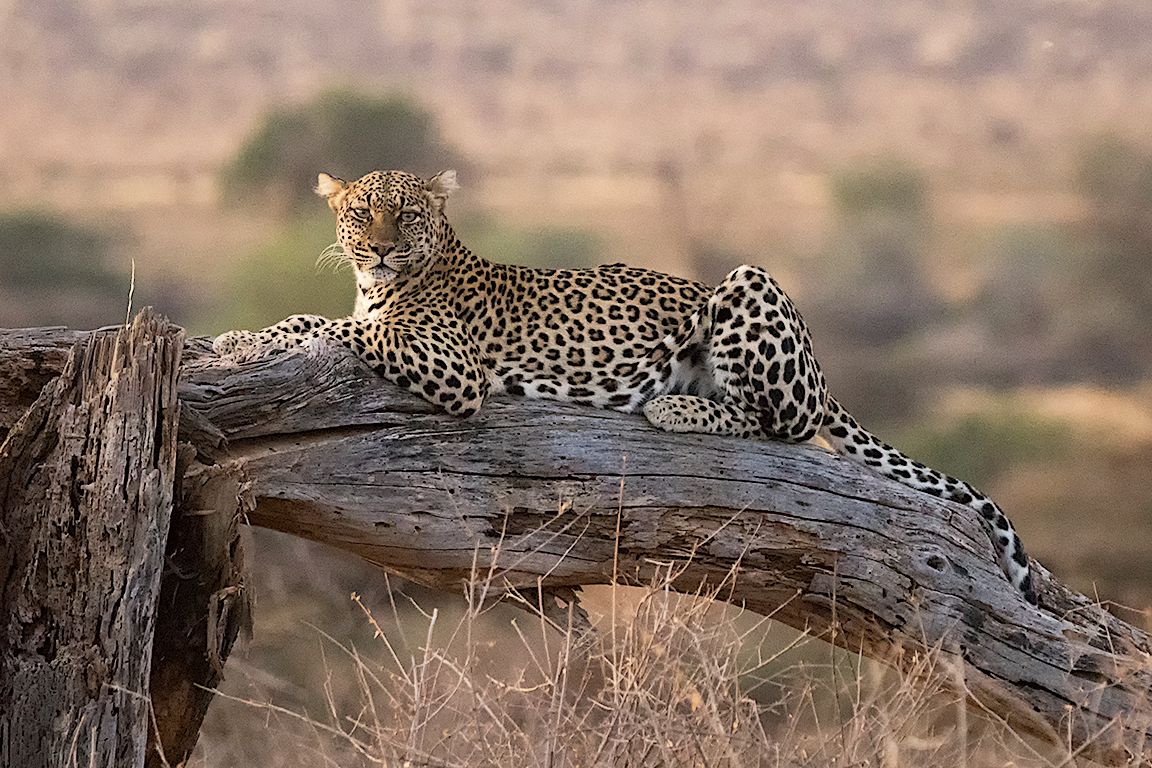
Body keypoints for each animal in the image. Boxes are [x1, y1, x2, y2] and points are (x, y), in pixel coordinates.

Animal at [214, 169, 1038, 605]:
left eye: (406, 214)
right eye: (361, 214)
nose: (381, 249)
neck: (387, 282)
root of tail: (821, 373)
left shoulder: (453, 368)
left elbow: (334, 327)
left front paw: (245, 337)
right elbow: (326, 322)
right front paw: (240, 338)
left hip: (746, 284)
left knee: (782, 426)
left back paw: (675, 405)